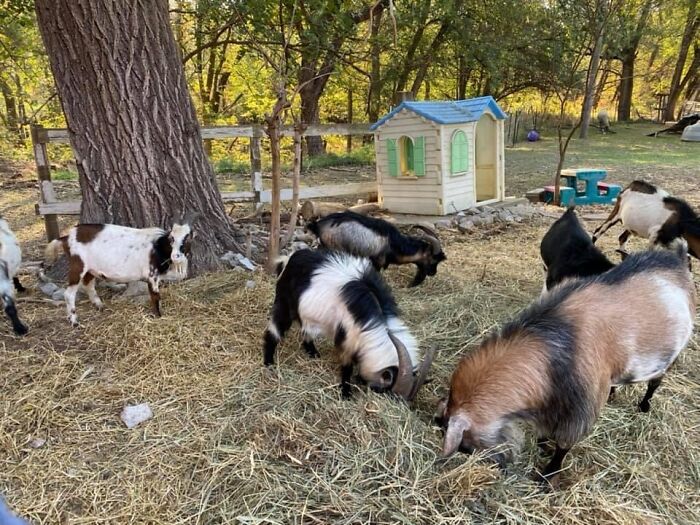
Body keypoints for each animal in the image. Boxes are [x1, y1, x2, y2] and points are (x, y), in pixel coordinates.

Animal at [45, 217, 195, 326]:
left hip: (90, 269)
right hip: (78, 266)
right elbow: (155, 296)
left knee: (88, 284)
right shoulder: (152, 275)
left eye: (187, 238)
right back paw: (74, 321)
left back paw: (99, 305)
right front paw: (158, 316)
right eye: (171, 238)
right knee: (69, 294)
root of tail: (66, 237)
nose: (176, 256)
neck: (158, 247)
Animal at [263, 249, 434, 399]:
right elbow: (347, 367)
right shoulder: (347, 337)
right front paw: (346, 393)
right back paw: (268, 363)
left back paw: (312, 353)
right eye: (389, 391)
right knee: (273, 331)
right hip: (284, 304)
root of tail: (289, 258)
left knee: (306, 331)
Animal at [436, 247, 695, 488]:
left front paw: (547, 476)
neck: (554, 340)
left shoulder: (582, 407)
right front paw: (542, 445)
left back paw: (644, 406)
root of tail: (676, 259)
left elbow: (564, 445)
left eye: (467, 444)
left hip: (669, 357)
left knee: (655, 383)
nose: (498, 464)